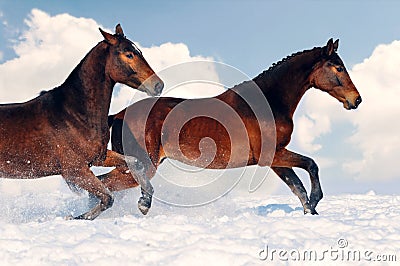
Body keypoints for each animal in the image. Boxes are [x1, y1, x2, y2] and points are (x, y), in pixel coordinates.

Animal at [0, 24, 164, 220]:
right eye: (129, 54)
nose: (158, 85)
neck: (75, 114)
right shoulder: (75, 171)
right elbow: (107, 198)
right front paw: (72, 218)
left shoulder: (98, 157)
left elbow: (135, 163)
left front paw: (144, 202)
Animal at [101, 38, 360, 215]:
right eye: (338, 68)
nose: (356, 99)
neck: (268, 103)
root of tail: (119, 115)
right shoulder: (274, 155)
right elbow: (311, 165)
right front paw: (316, 200)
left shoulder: (275, 159)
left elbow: (298, 186)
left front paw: (311, 210)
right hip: (144, 164)